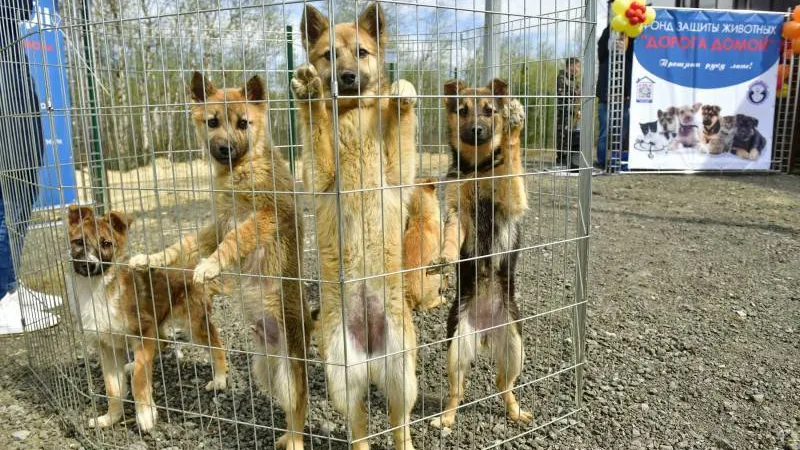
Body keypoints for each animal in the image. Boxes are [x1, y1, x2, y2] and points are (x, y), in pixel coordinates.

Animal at [64, 205, 228, 432]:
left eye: (106, 244)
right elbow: (113, 389)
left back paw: (220, 378)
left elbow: (139, 381)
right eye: (79, 242)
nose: (89, 265)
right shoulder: (107, 348)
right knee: (164, 342)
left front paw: (145, 414)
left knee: (217, 345)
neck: (97, 288)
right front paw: (111, 417)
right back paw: (132, 365)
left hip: (195, 324)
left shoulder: (144, 331)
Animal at [131, 74, 310, 450]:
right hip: (265, 370)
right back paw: (285, 436)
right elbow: (181, 245)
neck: (241, 168)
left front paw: (209, 267)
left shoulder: (264, 217)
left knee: (300, 407)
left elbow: (235, 241)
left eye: (244, 123)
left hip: (290, 374)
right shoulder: (216, 224)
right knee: (289, 410)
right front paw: (148, 259)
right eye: (212, 122)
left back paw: (294, 441)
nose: (225, 149)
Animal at [292, 2, 418, 446]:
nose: (346, 78)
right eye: (329, 55)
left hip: (403, 375)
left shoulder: (398, 175)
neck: (351, 116)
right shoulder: (319, 176)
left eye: (361, 53)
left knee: (399, 424)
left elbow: (401, 126)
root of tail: (370, 348)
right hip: (341, 379)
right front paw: (310, 95)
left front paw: (402, 96)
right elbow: (314, 126)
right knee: (360, 426)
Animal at [428, 79, 536, 430]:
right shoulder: (457, 216)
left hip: (515, 346)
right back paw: (446, 418)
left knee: (505, 385)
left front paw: (514, 129)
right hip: (456, 345)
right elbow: (450, 239)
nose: (476, 130)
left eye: (490, 111)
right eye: (462, 110)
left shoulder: (510, 202)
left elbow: (511, 164)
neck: (476, 168)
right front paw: (443, 259)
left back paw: (515, 411)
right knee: (457, 390)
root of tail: (487, 331)